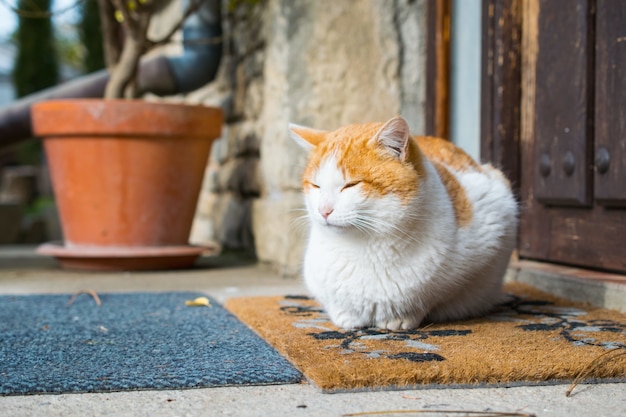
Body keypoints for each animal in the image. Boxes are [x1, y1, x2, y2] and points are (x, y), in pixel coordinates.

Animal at [288, 115, 516, 330]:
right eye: (316, 186)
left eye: (351, 185)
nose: (323, 210)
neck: (364, 247)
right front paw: (347, 316)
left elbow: (432, 297)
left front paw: (400, 317)